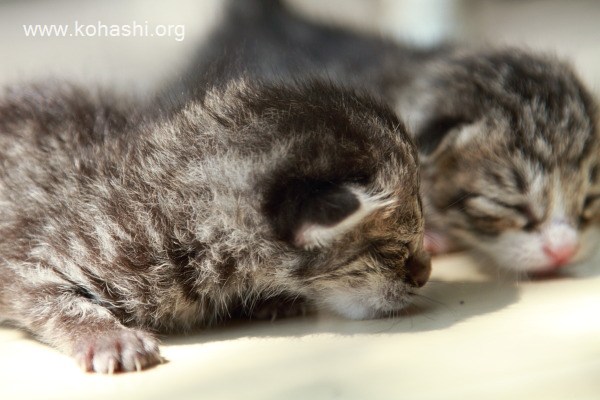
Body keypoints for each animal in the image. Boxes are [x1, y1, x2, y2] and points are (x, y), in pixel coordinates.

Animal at [0, 79, 432, 374]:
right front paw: (109, 338)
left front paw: (269, 299)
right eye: (393, 250)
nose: (425, 275)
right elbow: (57, 302)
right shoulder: (32, 258)